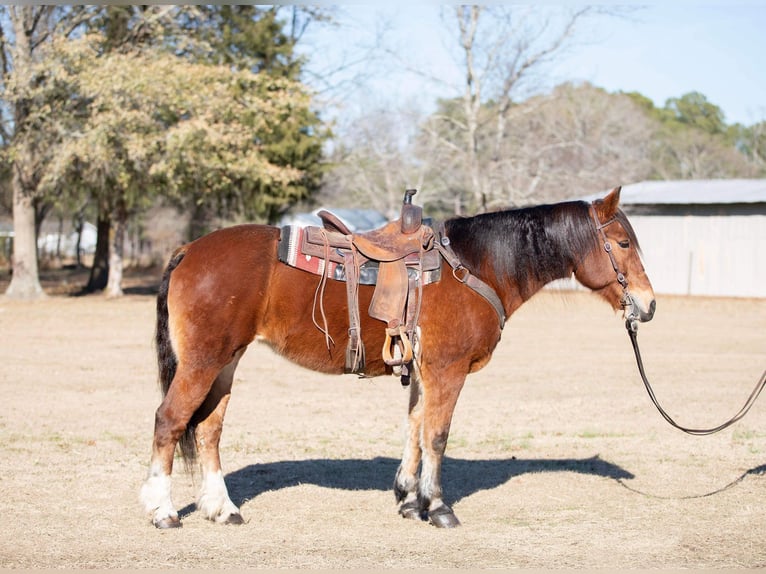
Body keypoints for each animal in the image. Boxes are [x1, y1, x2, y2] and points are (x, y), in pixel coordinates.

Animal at [141, 188, 656, 532]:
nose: (648, 305)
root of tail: (189, 249)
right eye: (623, 244)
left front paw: (410, 501)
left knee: (208, 429)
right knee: (169, 420)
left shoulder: (423, 372)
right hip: (203, 362)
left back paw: (223, 508)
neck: (475, 266)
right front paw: (439, 507)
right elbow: (438, 436)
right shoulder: (447, 370)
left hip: (225, 362)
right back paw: (163, 511)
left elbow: (414, 429)